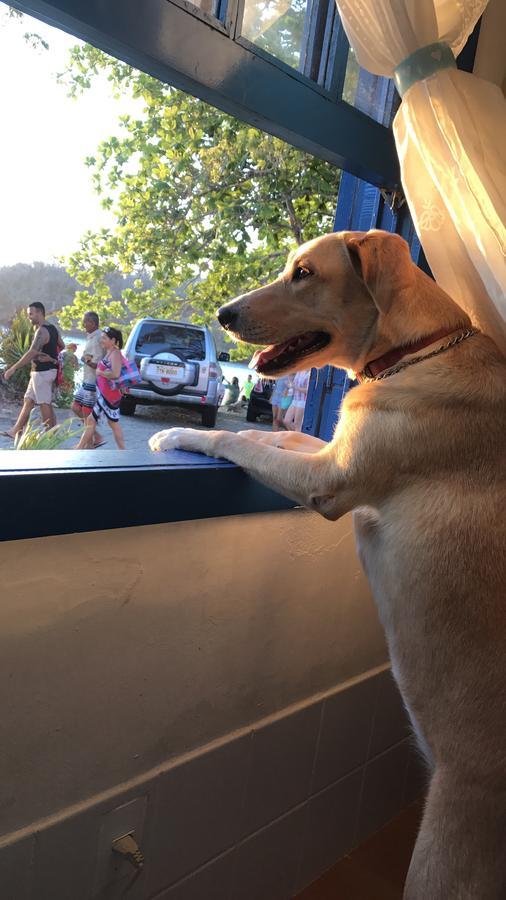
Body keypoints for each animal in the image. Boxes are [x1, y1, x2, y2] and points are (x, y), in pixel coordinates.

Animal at [150, 234, 506, 900]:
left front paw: (180, 436)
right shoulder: (330, 448)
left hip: (444, 852)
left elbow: (236, 440)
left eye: (305, 272)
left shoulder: (331, 479)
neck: (413, 354)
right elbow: (275, 439)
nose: (223, 316)